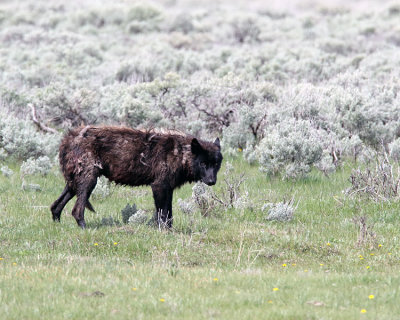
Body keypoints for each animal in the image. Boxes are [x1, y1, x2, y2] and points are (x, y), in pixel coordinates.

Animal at [50, 125, 222, 228]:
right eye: (203, 164)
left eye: (216, 164)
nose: (212, 181)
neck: (180, 153)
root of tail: (67, 139)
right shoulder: (159, 186)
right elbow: (162, 214)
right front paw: (163, 232)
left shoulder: (168, 188)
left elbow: (169, 214)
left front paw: (170, 231)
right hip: (88, 183)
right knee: (76, 211)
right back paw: (85, 229)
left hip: (74, 185)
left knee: (55, 206)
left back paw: (57, 226)